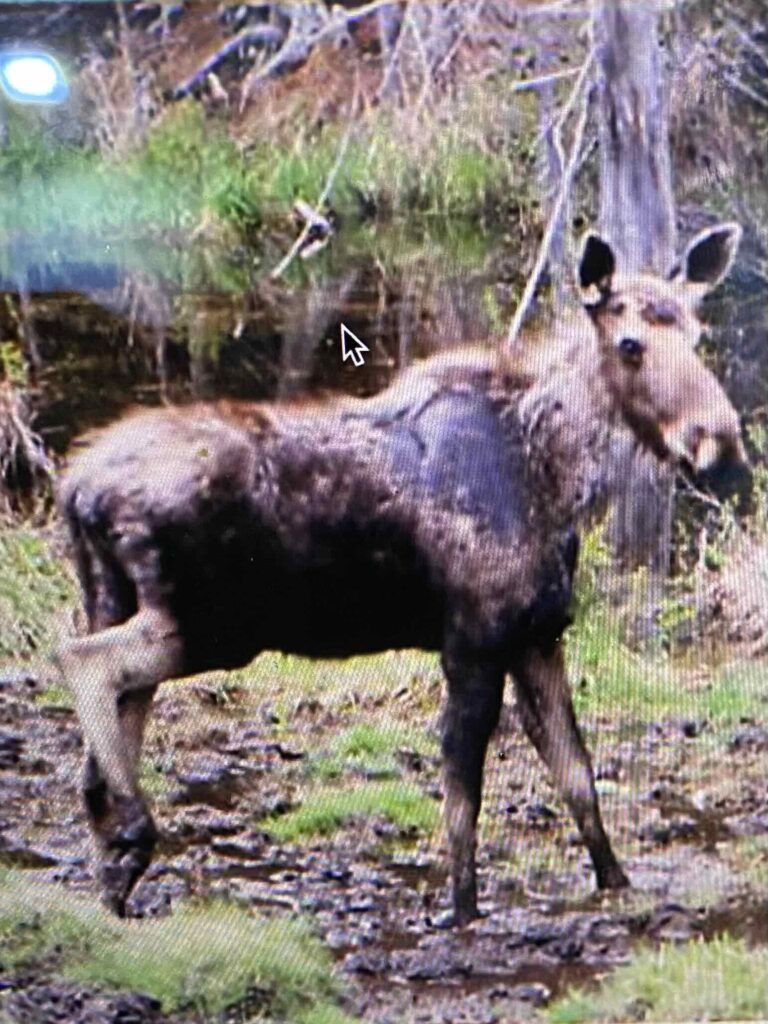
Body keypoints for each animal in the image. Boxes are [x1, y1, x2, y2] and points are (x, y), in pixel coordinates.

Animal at [55, 222, 747, 925]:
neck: (556, 474)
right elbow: (463, 799)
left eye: (697, 332)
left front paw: (616, 882)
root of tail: (77, 488)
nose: (721, 445)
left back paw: (113, 863)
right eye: (630, 344)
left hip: (118, 595)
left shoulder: (537, 637)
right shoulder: (473, 642)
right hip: (208, 624)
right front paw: (462, 912)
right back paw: (134, 829)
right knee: (84, 660)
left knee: (116, 711)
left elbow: (578, 776)